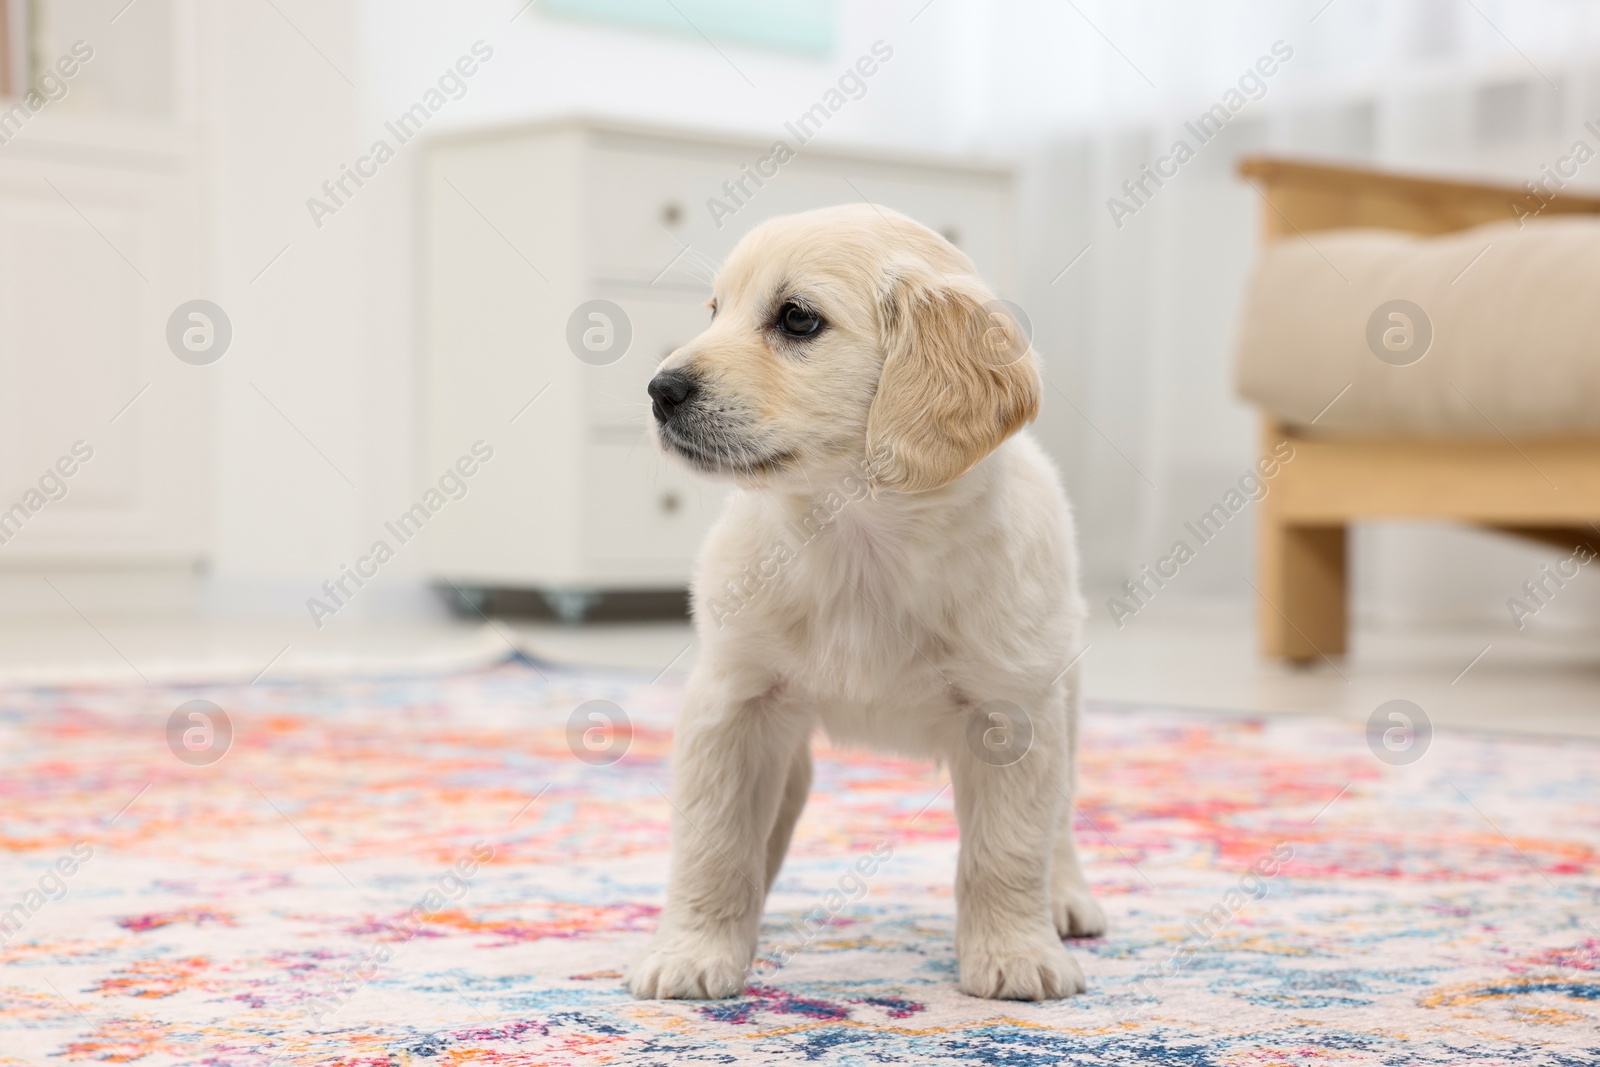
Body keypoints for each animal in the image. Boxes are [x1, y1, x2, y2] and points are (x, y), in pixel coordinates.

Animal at [624, 204, 1100, 1004]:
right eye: (715, 311)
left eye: (796, 318)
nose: (660, 390)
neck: (856, 535)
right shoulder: (732, 701)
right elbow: (713, 842)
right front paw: (693, 949)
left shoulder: (1012, 711)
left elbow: (1008, 849)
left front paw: (1013, 952)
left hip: (1062, 693)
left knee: (1060, 816)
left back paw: (1065, 897)